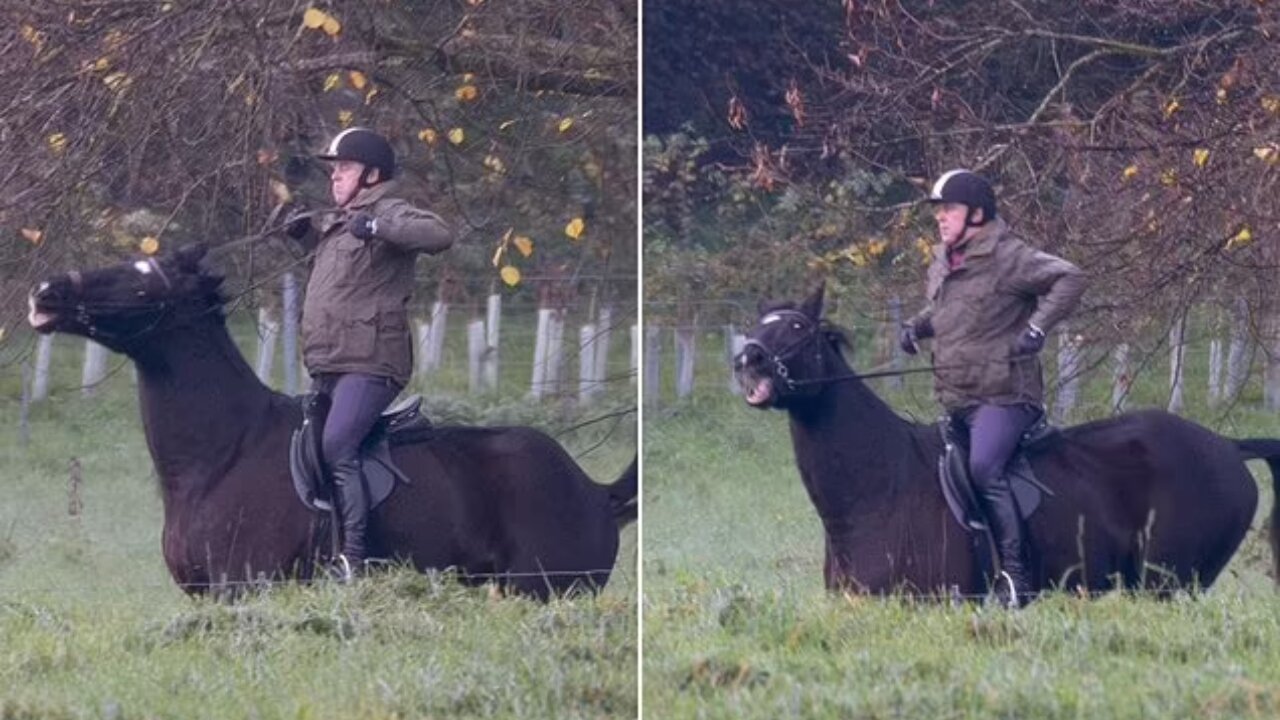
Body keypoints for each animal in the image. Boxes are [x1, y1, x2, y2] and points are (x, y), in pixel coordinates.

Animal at [737, 284, 1280, 594]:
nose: (748, 359)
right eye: (756, 328)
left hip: (1170, 585)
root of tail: (1227, 447)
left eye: (797, 326)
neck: (880, 488)